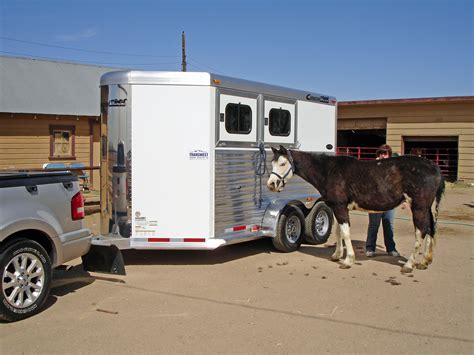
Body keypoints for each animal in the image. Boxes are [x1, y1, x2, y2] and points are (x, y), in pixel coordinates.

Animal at [266, 146, 444, 274]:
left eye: (283, 164)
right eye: (273, 163)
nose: (271, 184)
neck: (328, 170)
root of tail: (434, 167)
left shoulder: (340, 207)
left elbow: (345, 232)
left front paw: (347, 260)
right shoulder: (338, 207)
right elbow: (338, 231)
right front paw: (337, 255)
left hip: (419, 207)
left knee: (421, 231)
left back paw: (409, 265)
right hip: (427, 208)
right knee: (430, 229)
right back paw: (425, 261)